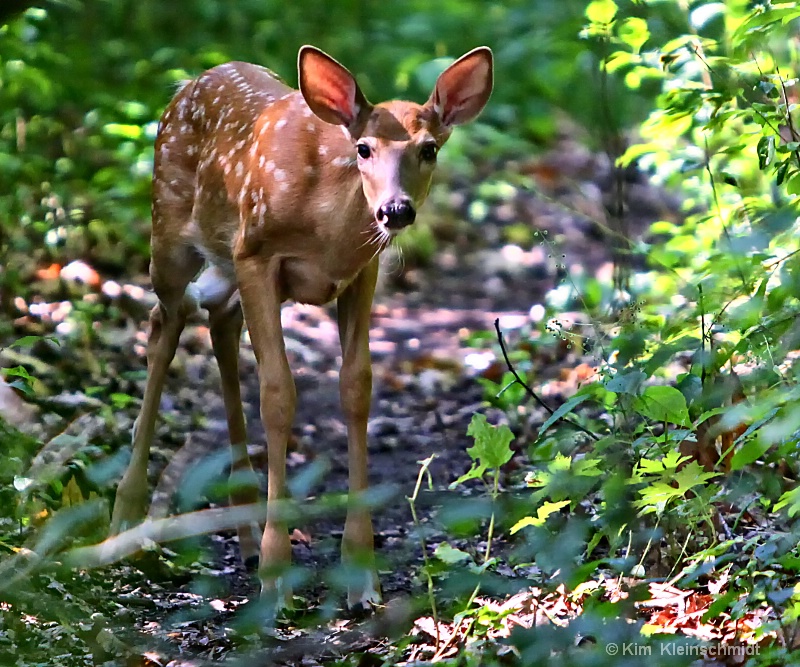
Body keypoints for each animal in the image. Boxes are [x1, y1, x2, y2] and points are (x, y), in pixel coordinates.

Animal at [108, 45, 490, 612]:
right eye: (364, 148)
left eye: (429, 149)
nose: (395, 210)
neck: (327, 225)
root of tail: (191, 82)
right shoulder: (255, 253)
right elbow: (277, 394)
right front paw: (277, 573)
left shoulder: (362, 272)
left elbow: (356, 388)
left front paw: (361, 573)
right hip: (171, 230)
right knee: (164, 324)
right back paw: (124, 520)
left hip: (223, 265)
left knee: (219, 320)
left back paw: (242, 534)